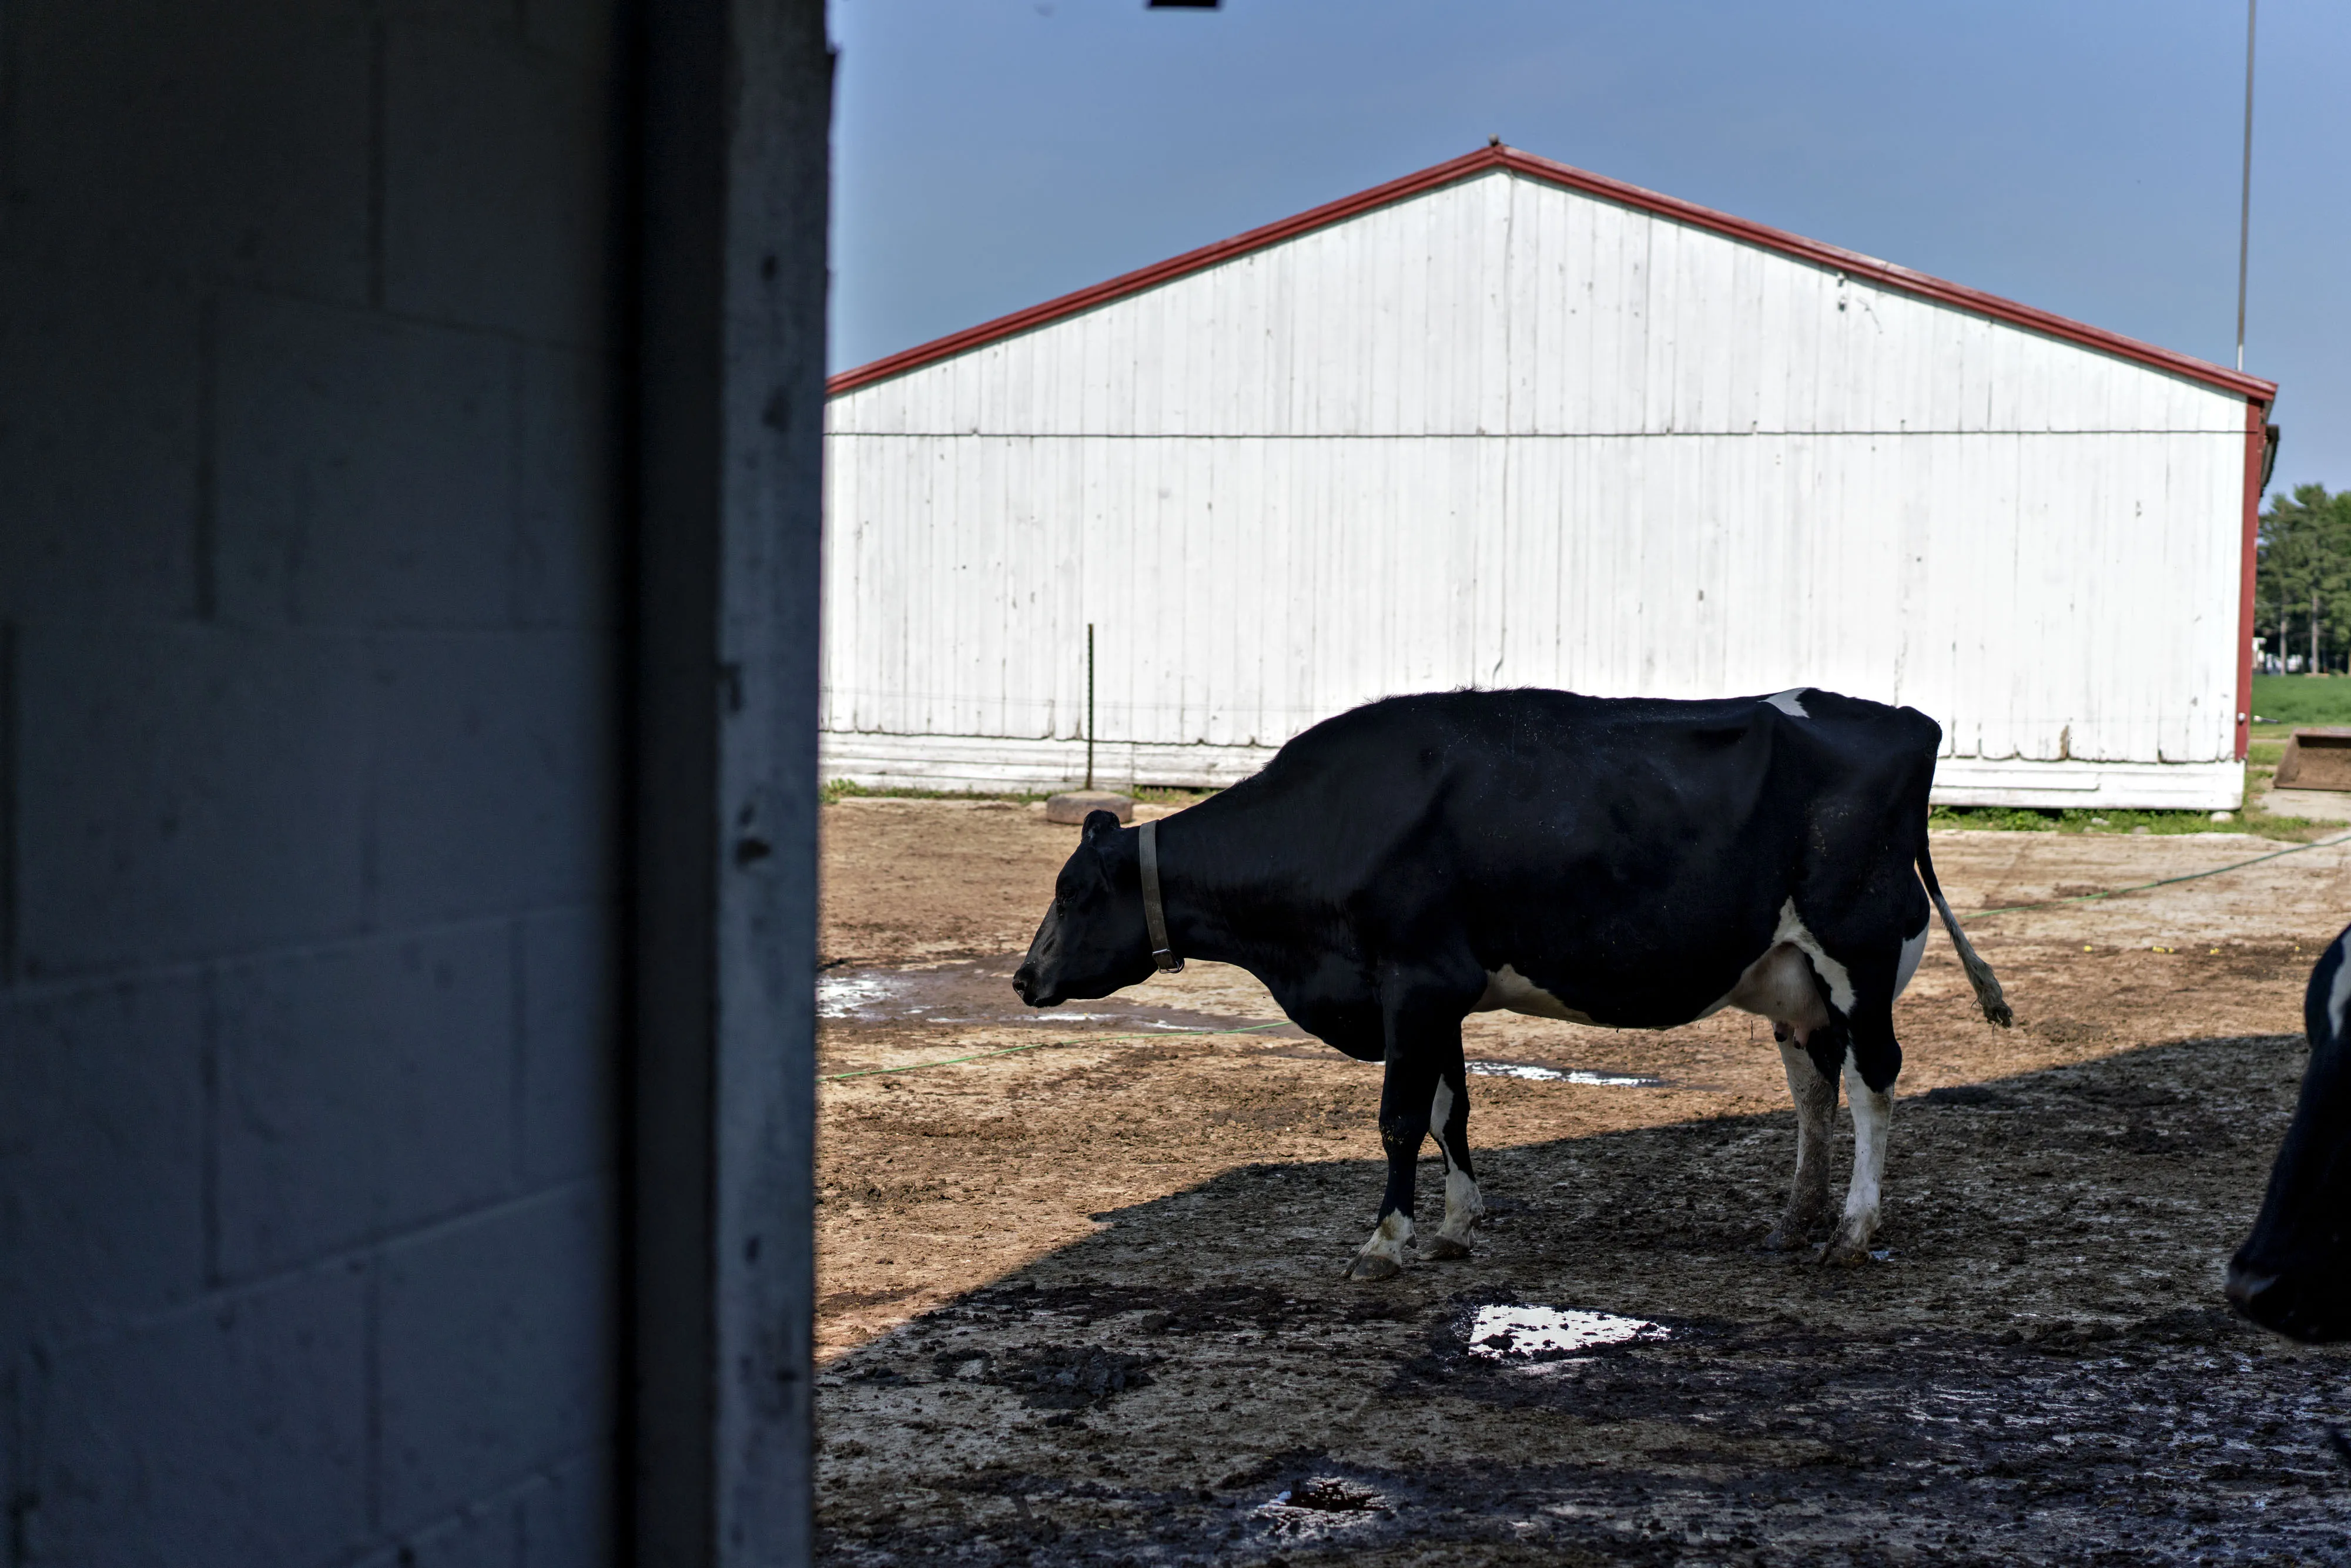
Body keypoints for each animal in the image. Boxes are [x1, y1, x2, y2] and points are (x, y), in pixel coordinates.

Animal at [1011, 687, 2012, 1279]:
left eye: (1070, 892)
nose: (1025, 977)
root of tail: (1905, 720)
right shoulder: (1434, 994)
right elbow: (1451, 1112)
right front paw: (1457, 1227)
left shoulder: (1413, 981)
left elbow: (1399, 1120)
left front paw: (1386, 1241)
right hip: (1794, 981)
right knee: (1815, 1089)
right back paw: (1796, 1221)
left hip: (1859, 955)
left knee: (1874, 1084)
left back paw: (1852, 1231)